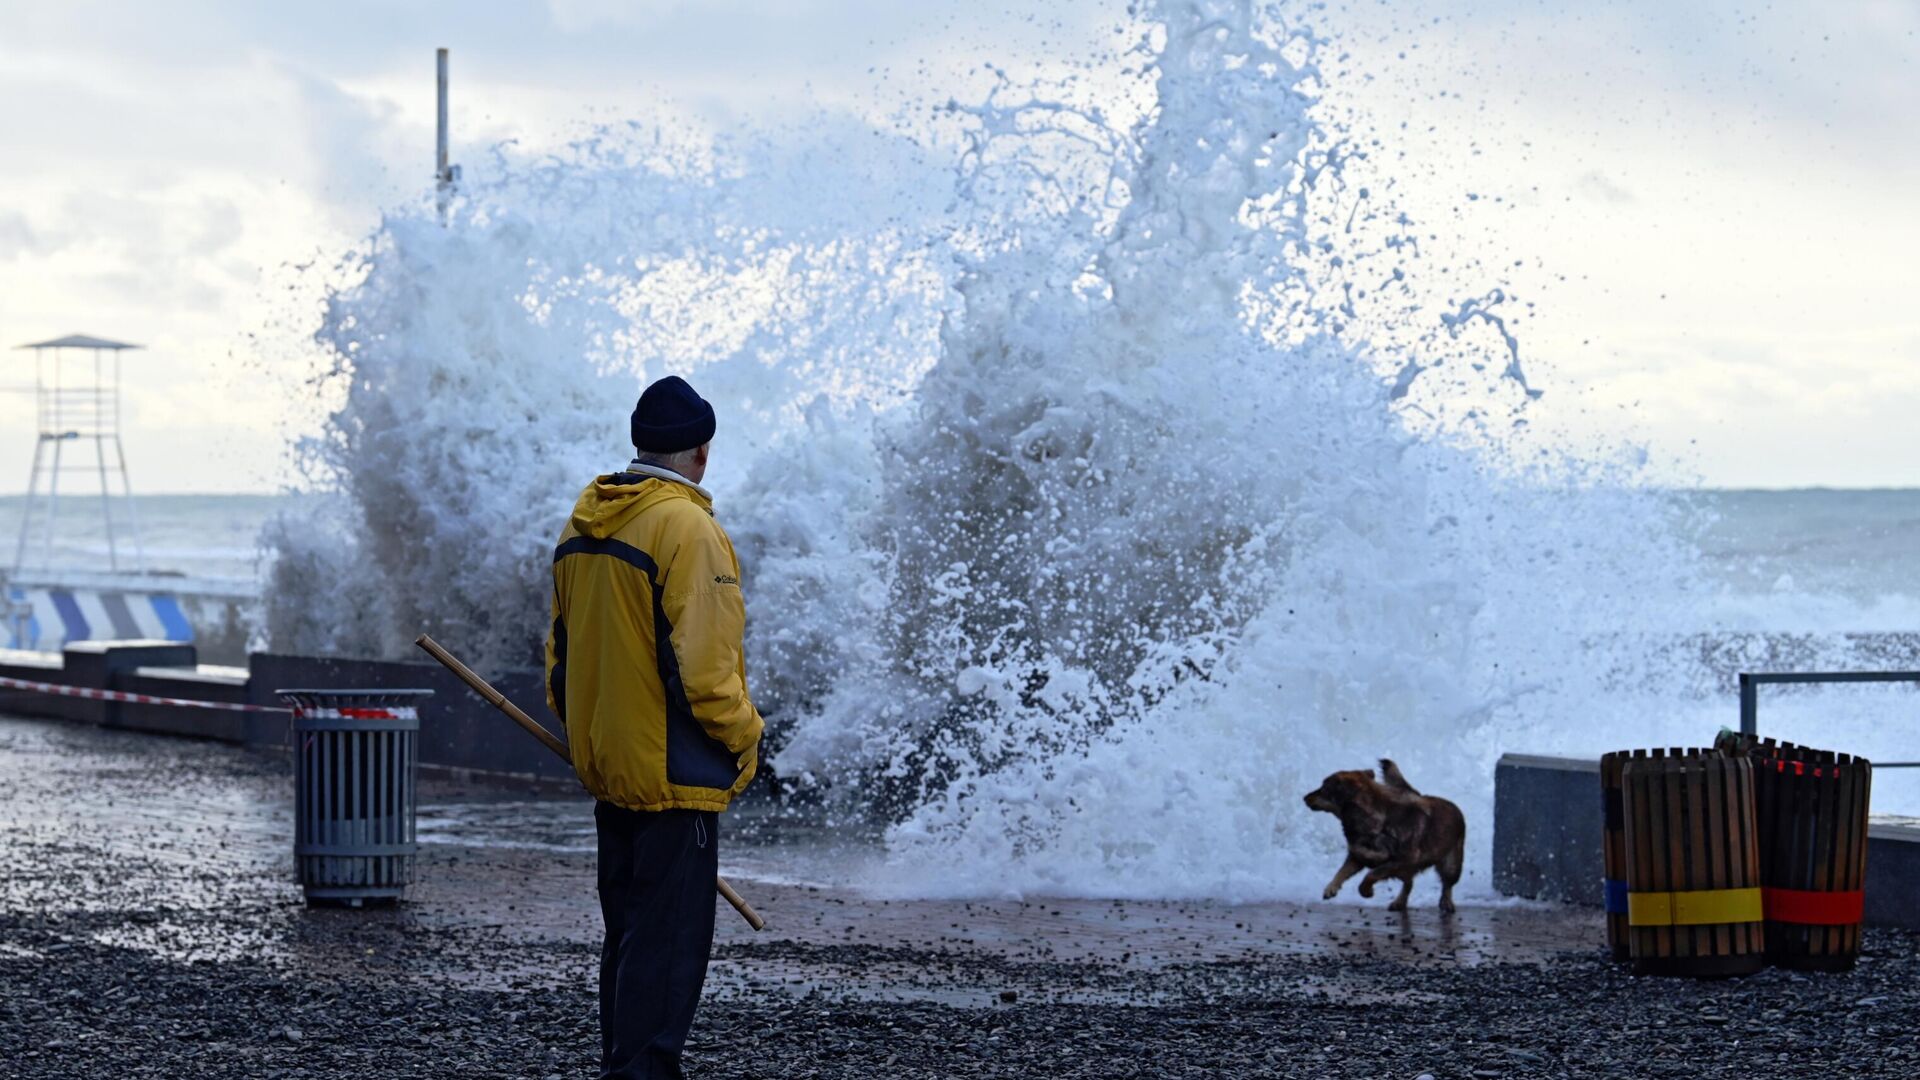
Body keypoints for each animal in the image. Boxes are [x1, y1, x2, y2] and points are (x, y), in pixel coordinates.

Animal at [1305, 757, 1466, 907]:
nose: (1304, 797)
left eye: (1323, 789)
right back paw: (1399, 902)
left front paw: (1366, 891)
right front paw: (1331, 887)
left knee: (1447, 884)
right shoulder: (1357, 856)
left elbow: (1372, 874)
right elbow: (1342, 871)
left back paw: (1446, 902)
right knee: (1409, 883)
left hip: (1451, 864)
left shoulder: (1402, 860)